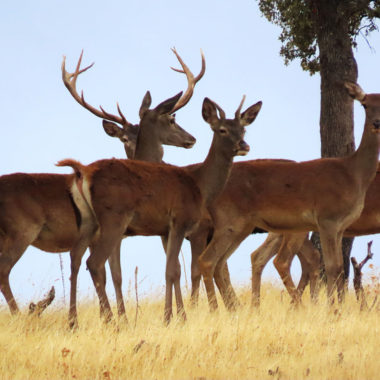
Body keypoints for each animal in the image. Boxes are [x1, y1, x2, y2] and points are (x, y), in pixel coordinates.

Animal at [0, 49, 202, 330]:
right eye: (173, 119)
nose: (191, 139)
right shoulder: (115, 232)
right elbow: (112, 274)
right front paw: (117, 318)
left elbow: (112, 274)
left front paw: (114, 317)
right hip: (22, 229)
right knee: (5, 269)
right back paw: (21, 316)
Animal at [58, 95, 262, 324]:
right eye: (222, 130)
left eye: (243, 130)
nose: (243, 145)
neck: (200, 186)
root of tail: (83, 172)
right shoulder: (181, 221)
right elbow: (176, 270)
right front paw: (178, 317)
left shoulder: (166, 230)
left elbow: (172, 269)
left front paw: (172, 315)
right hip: (114, 218)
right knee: (94, 263)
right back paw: (112, 322)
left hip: (88, 222)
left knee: (75, 258)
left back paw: (74, 321)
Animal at [194, 81, 380, 310]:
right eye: (364, 104)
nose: (376, 123)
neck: (353, 175)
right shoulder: (328, 219)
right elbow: (332, 266)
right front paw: (332, 310)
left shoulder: (340, 226)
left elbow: (337, 267)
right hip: (234, 222)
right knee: (212, 260)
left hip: (243, 227)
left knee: (225, 262)